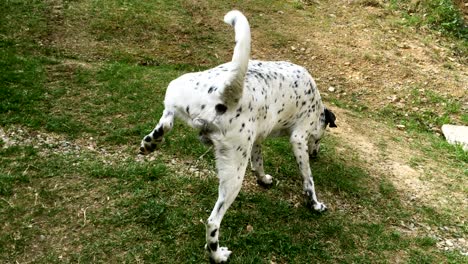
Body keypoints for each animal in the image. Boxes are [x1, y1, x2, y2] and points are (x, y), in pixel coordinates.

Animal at [139, 9, 336, 262]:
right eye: (319, 138)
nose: (317, 154)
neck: (316, 103)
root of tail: (225, 91)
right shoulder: (299, 140)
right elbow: (308, 179)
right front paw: (315, 204)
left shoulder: (257, 140)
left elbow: (258, 163)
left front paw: (263, 179)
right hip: (233, 173)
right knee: (213, 222)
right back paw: (217, 255)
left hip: (177, 91)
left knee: (166, 120)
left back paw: (152, 141)